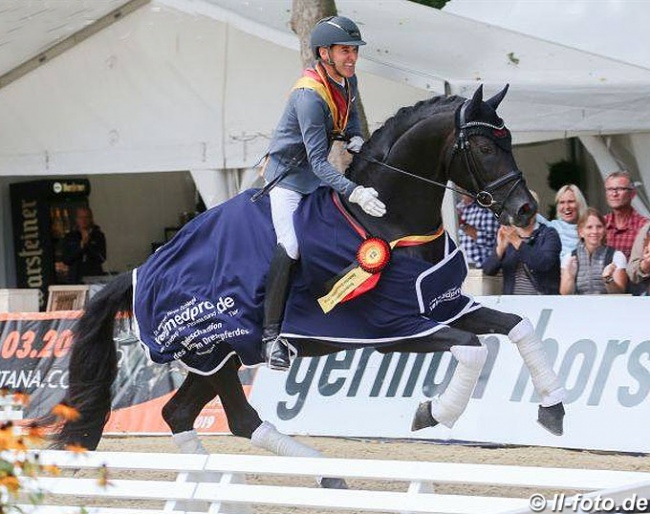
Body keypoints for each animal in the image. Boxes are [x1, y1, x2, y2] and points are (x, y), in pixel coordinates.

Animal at [50, 85, 564, 464]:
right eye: (484, 145)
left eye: (510, 141)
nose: (526, 211)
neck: (389, 221)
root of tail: (144, 269)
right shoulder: (397, 327)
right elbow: (473, 349)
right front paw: (431, 412)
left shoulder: (446, 304)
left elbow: (518, 326)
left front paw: (554, 409)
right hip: (215, 349)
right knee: (238, 419)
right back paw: (321, 469)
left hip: (216, 357)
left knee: (178, 413)